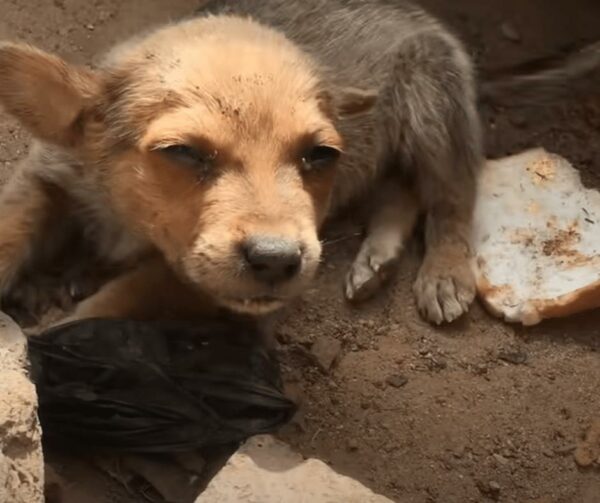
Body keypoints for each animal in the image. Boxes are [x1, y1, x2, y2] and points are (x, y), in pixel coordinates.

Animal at [0, 0, 596, 324]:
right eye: (183, 153)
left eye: (317, 154)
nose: (278, 261)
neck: (126, 215)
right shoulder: (46, 176)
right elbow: (13, 227)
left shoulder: (179, 278)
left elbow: (108, 304)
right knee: (398, 189)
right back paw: (376, 260)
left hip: (433, 106)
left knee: (452, 195)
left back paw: (444, 274)